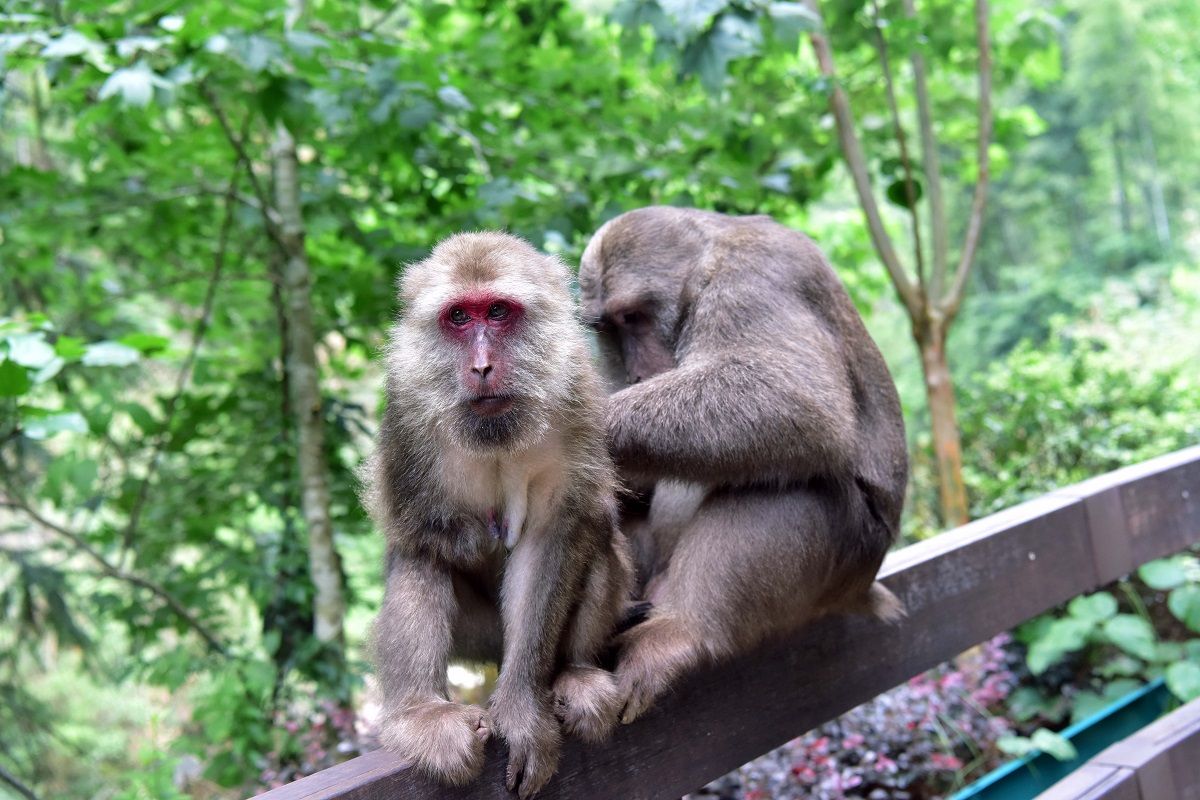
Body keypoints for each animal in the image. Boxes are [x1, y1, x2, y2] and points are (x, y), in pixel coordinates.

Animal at [362, 231, 633, 796]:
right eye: (459, 317)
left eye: (499, 311)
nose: (482, 367)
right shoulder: (404, 411)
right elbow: (421, 530)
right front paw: (471, 535)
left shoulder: (575, 395)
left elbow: (551, 538)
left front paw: (521, 712)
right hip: (480, 636)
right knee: (421, 558)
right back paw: (420, 713)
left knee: (594, 531)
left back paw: (575, 673)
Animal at [580, 206, 907, 724]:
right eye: (607, 328)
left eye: (633, 317)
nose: (633, 372)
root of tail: (859, 589)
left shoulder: (750, 277)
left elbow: (796, 396)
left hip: (848, 557)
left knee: (798, 485)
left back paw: (684, 629)